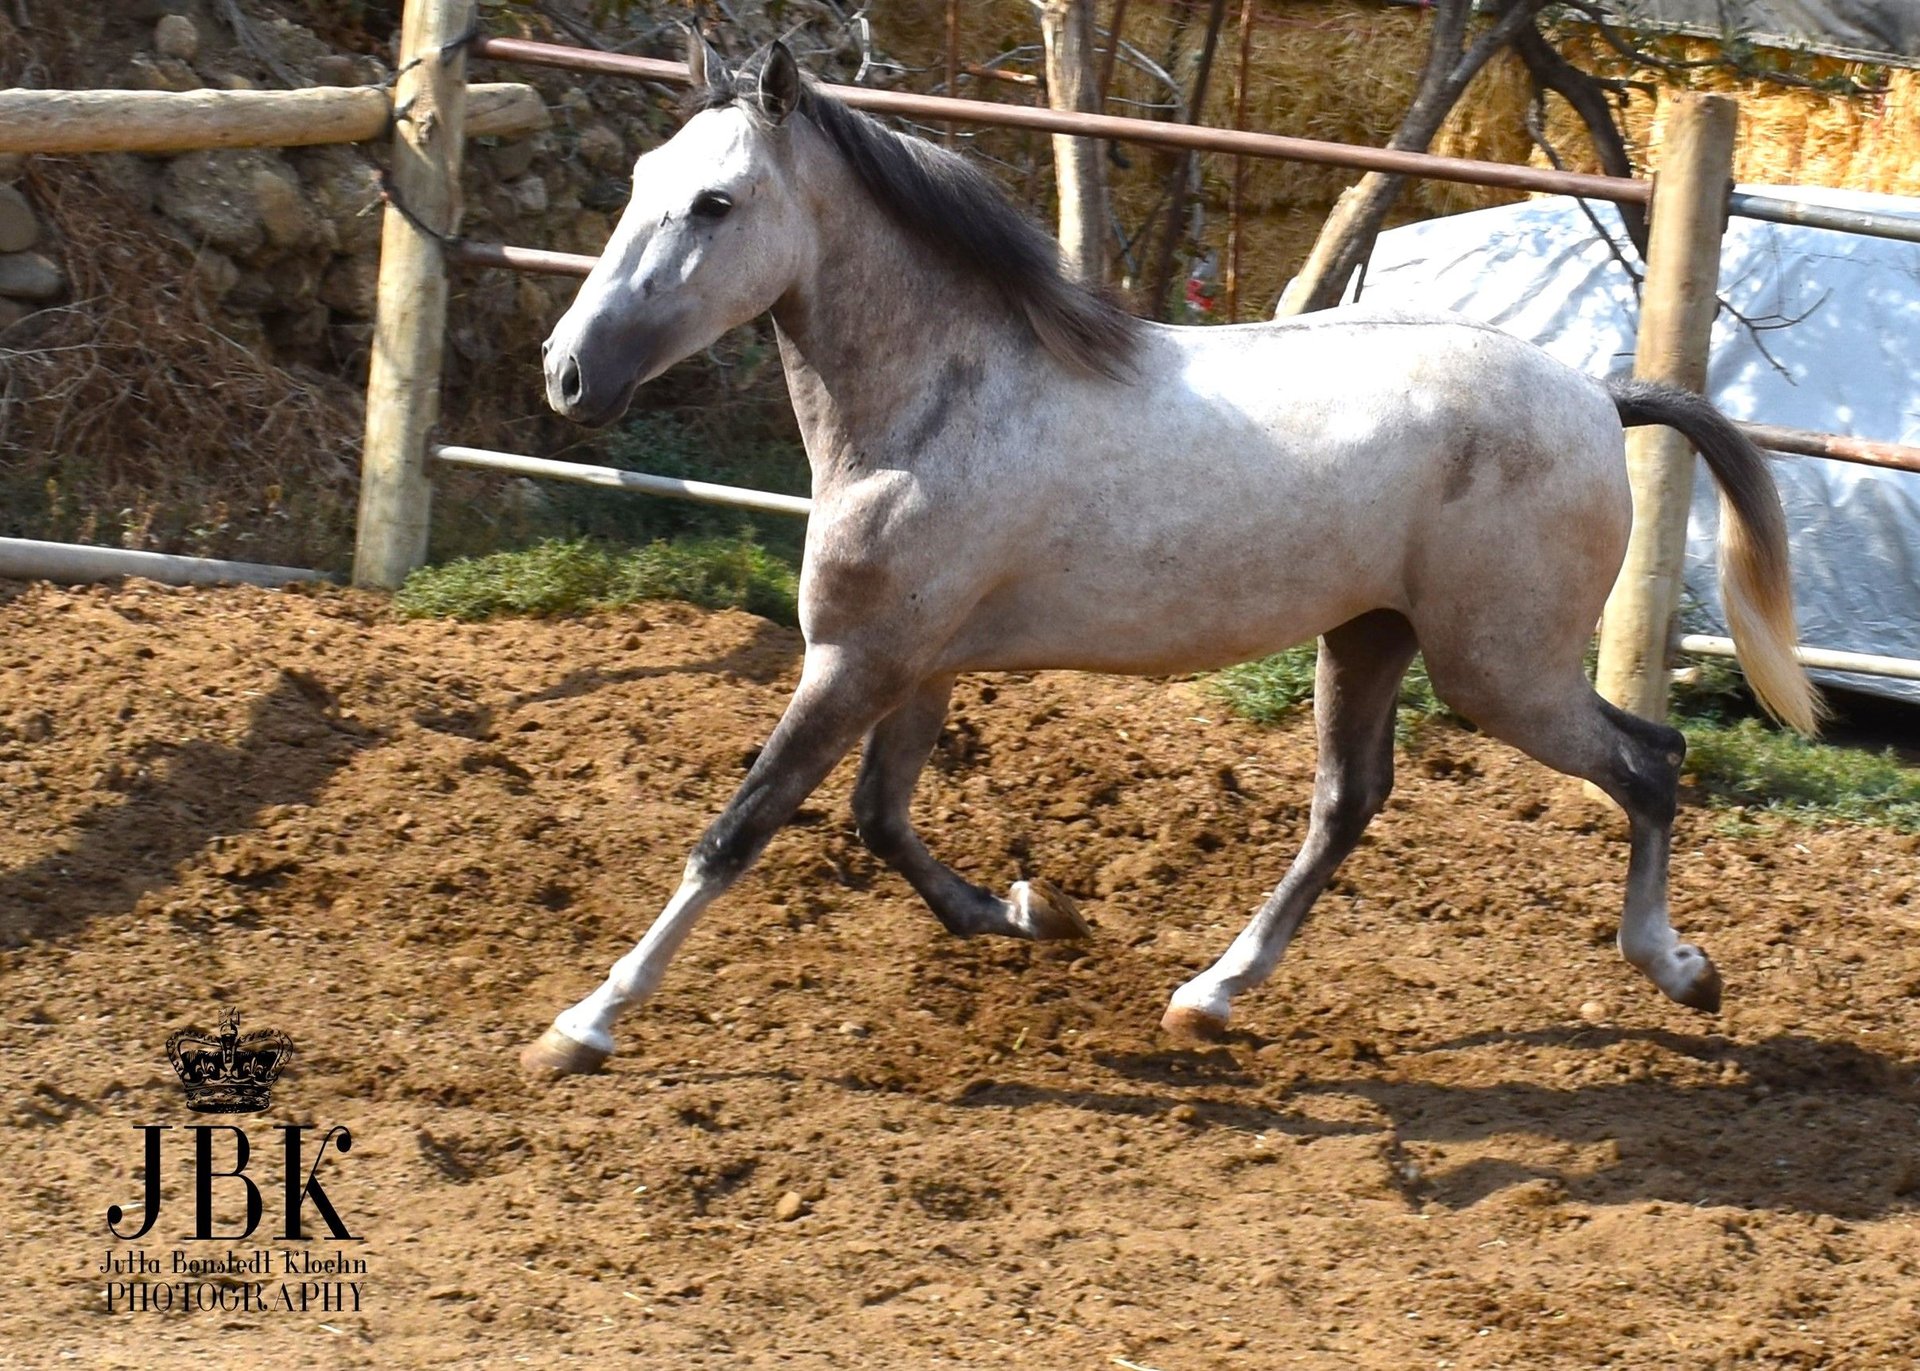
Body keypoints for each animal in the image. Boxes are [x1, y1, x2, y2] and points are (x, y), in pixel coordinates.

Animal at [521, 40, 1820, 1075]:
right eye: (639, 184)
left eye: (715, 203)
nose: (569, 375)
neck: (942, 407)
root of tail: (1600, 398)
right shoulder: (916, 663)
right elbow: (880, 820)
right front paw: (1035, 912)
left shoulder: (857, 660)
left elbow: (737, 830)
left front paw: (583, 1024)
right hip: (1372, 637)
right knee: (1350, 804)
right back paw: (1209, 996)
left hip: (1499, 670)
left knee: (1649, 761)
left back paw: (1681, 969)